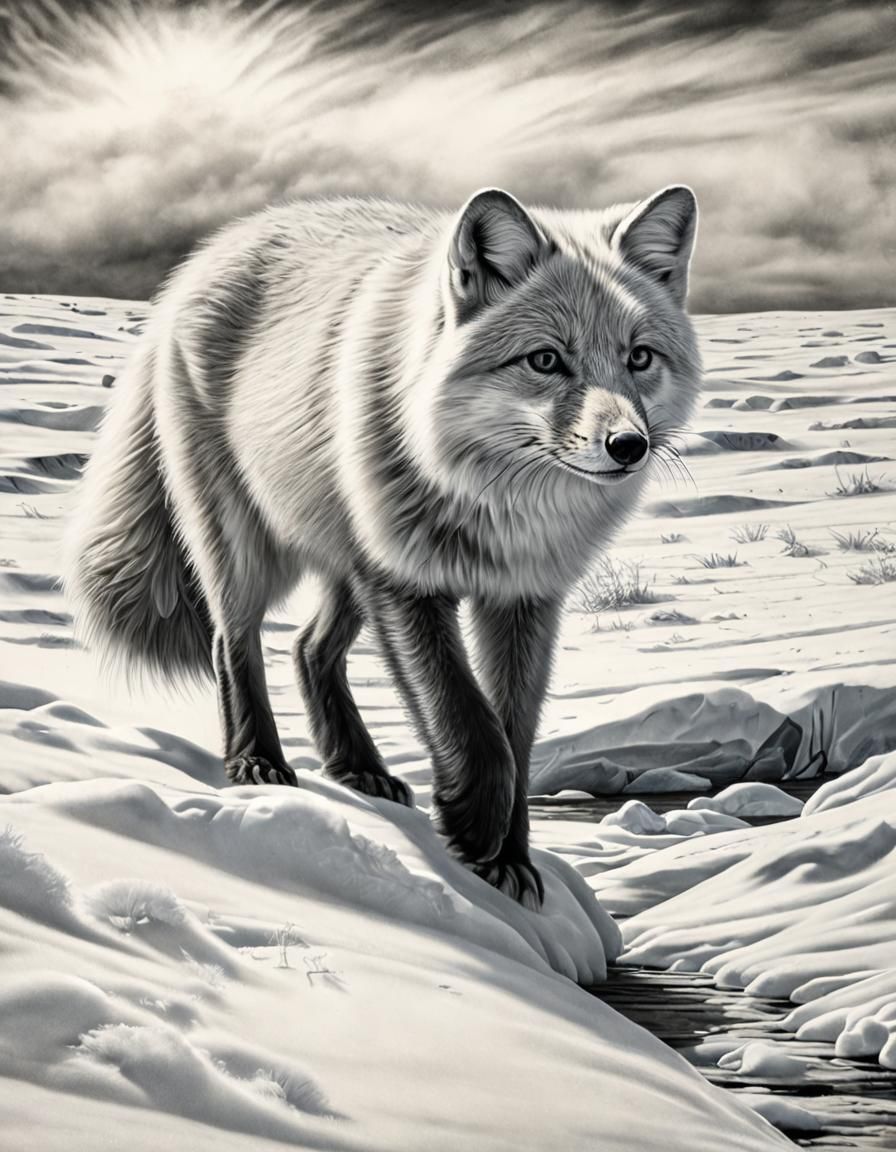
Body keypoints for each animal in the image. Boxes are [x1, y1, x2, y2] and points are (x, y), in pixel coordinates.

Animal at [66, 185, 700, 908]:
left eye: (639, 357)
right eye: (545, 359)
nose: (628, 446)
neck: (497, 508)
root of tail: (212, 251)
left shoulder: (524, 598)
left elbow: (514, 736)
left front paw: (509, 858)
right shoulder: (406, 579)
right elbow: (469, 722)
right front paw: (472, 827)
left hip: (347, 566)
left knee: (308, 648)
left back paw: (358, 767)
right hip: (248, 547)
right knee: (233, 642)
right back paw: (258, 760)